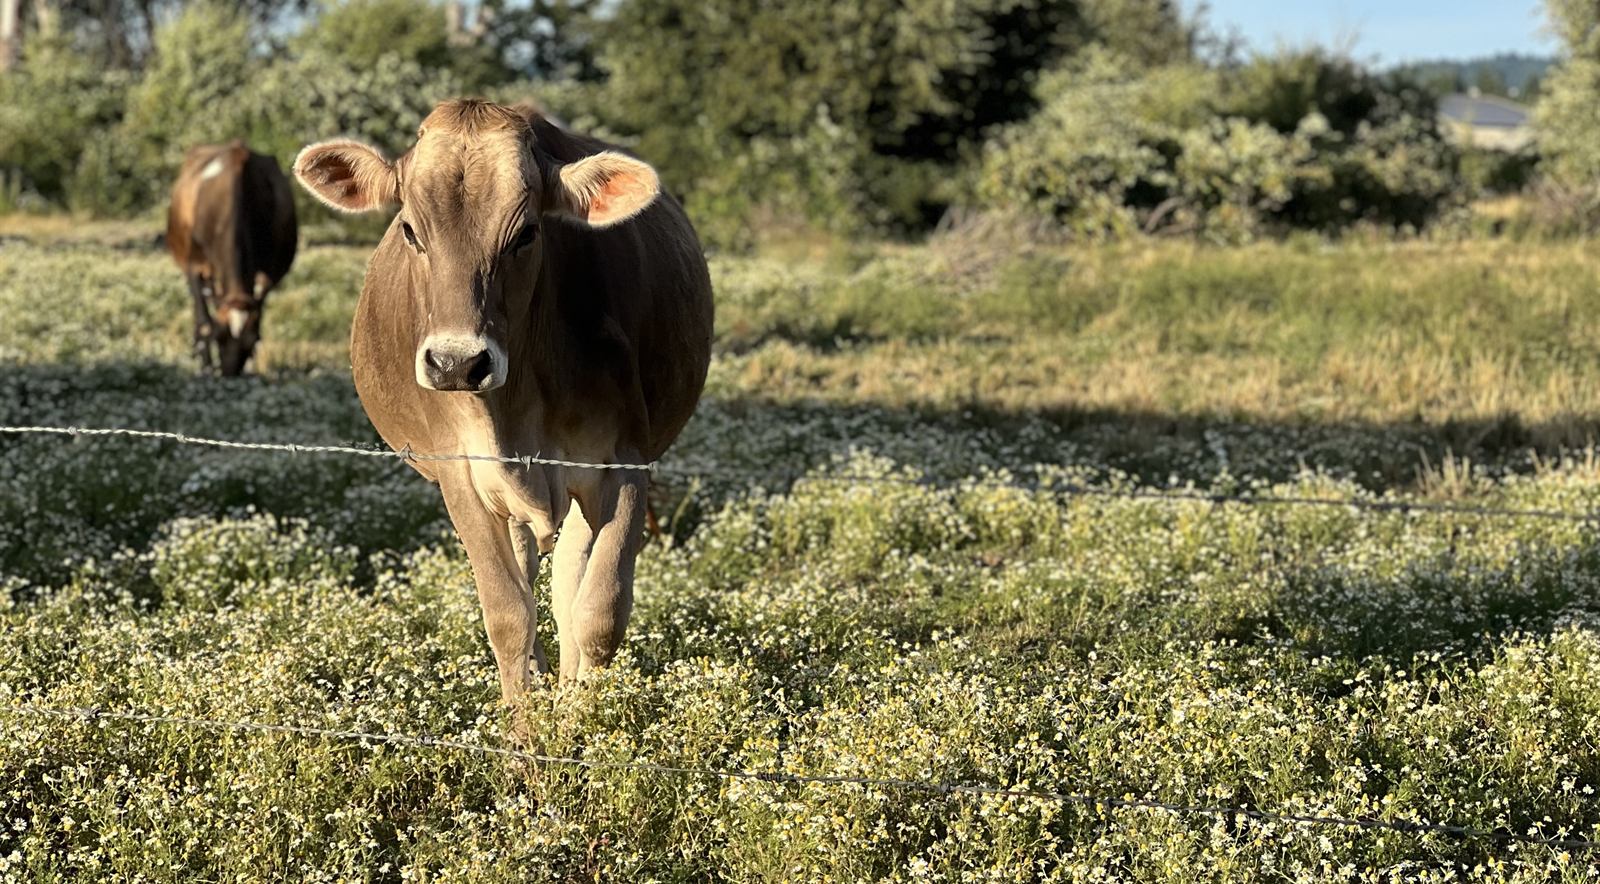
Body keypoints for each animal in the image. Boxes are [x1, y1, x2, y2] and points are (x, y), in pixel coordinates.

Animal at [166, 141, 299, 376]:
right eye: (219, 336)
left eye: (252, 341)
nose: (230, 374)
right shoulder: (194, 266)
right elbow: (205, 322)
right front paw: (206, 367)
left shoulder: (269, 272)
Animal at [292, 100, 714, 701]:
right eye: (410, 229)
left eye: (527, 233)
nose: (456, 363)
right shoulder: (461, 474)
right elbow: (508, 613)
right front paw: (524, 726)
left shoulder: (623, 462)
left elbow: (599, 613)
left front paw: (582, 719)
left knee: (567, 582)